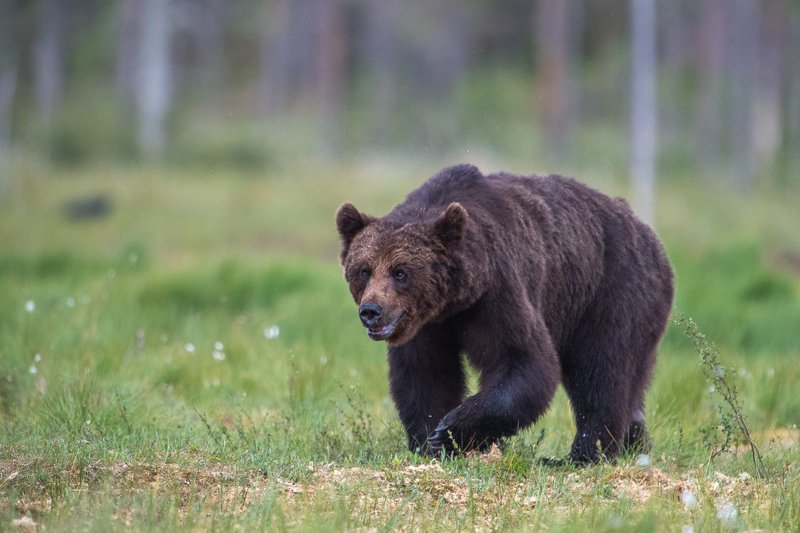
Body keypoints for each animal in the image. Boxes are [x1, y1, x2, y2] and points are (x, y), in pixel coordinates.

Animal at [335, 164, 674, 463]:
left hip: (611, 290)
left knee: (601, 369)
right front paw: (429, 440)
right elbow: (425, 375)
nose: (372, 311)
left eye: (400, 272)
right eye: (364, 270)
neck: (454, 303)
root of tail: (649, 234)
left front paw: (450, 431)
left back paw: (583, 455)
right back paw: (635, 442)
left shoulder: (497, 294)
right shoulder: (424, 324)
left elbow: (524, 361)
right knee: (631, 380)